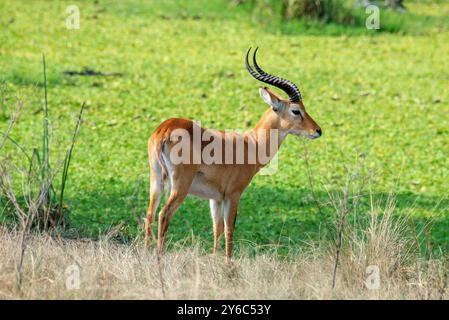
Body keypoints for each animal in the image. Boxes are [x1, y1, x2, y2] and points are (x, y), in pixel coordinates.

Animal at [145, 47, 320, 258]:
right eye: (296, 110)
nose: (318, 130)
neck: (251, 144)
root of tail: (164, 130)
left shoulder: (215, 198)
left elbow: (217, 229)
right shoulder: (233, 195)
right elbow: (230, 230)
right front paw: (228, 263)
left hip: (156, 181)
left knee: (149, 214)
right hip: (179, 186)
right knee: (164, 214)